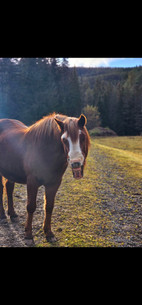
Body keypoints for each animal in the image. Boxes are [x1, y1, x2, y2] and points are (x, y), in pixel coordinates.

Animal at [0, 111, 90, 240]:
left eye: (82, 136)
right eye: (64, 139)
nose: (76, 163)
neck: (44, 151)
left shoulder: (54, 183)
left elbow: (49, 206)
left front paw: (48, 232)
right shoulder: (32, 182)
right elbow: (31, 206)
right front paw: (28, 233)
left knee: (9, 187)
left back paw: (12, 214)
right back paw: (2, 215)